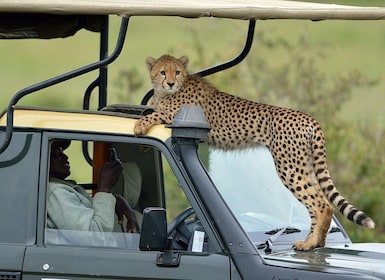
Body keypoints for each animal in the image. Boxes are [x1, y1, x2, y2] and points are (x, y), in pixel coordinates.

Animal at [134, 54, 374, 252]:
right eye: (162, 72)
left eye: (176, 72)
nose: (171, 82)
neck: (170, 90)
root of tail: (308, 118)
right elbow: (152, 107)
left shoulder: (177, 115)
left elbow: (155, 113)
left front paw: (139, 125)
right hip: (302, 165)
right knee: (321, 203)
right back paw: (316, 242)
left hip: (289, 168)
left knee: (321, 204)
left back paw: (309, 244)